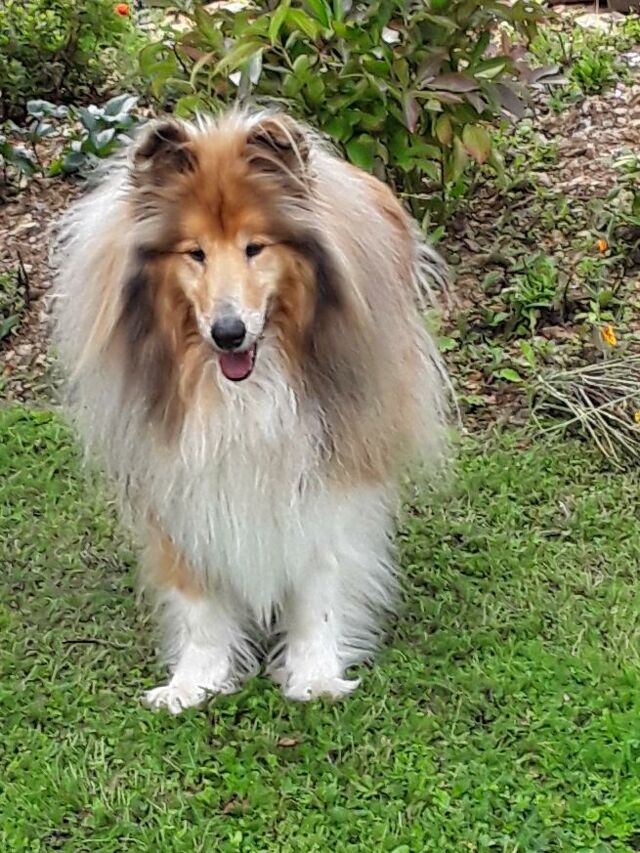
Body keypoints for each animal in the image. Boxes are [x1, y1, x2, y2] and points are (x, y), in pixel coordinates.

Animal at [52, 110, 450, 713]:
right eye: (194, 252)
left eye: (254, 247)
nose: (228, 333)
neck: (241, 391)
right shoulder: (173, 472)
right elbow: (196, 592)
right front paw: (195, 680)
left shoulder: (329, 458)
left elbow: (320, 574)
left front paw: (314, 675)